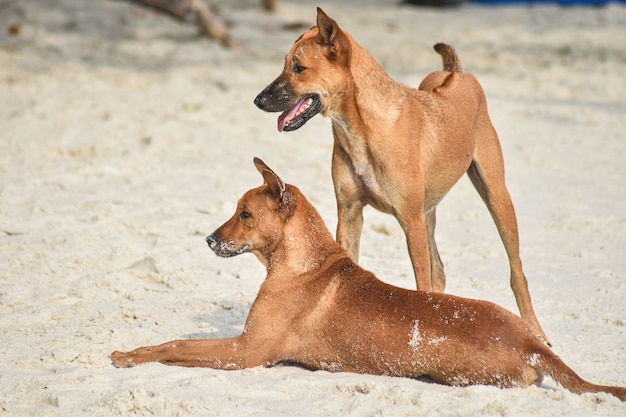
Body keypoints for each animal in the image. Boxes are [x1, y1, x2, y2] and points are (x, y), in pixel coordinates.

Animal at [111, 157, 624, 400]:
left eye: (245, 214)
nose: (209, 239)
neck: (303, 262)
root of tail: (528, 340)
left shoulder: (246, 352)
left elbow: (176, 345)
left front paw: (132, 355)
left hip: (460, 373)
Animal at [254, 8, 544, 342]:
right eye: (285, 64)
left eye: (299, 68)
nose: (258, 100)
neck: (363, 128)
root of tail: (456, 73)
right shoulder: (350, 214)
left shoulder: (410, 222)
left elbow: (421, 284)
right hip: (429, 213)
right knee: (439, 271)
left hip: (496, 197)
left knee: (516, 272)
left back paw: (536, 330)